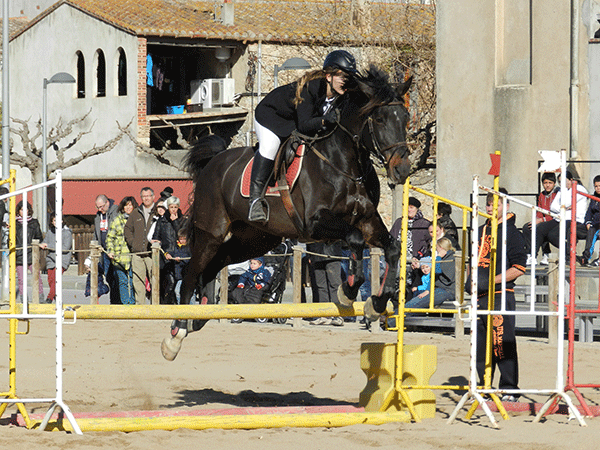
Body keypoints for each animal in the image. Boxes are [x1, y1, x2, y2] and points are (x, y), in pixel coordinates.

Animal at [162, 67, 414, 360]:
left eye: (406, 118)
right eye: (381, 119)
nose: (402, 170)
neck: (345, 165)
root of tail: (212, 164)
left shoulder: (368, 221)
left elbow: (393, 248)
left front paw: (377, 303)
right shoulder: (315, 224)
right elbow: (354, 241)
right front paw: (347, 292)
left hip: (254, 240)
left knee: (214, 266)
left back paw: (200, 316)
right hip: (211, 233)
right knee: (191, 273)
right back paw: (176, 333)